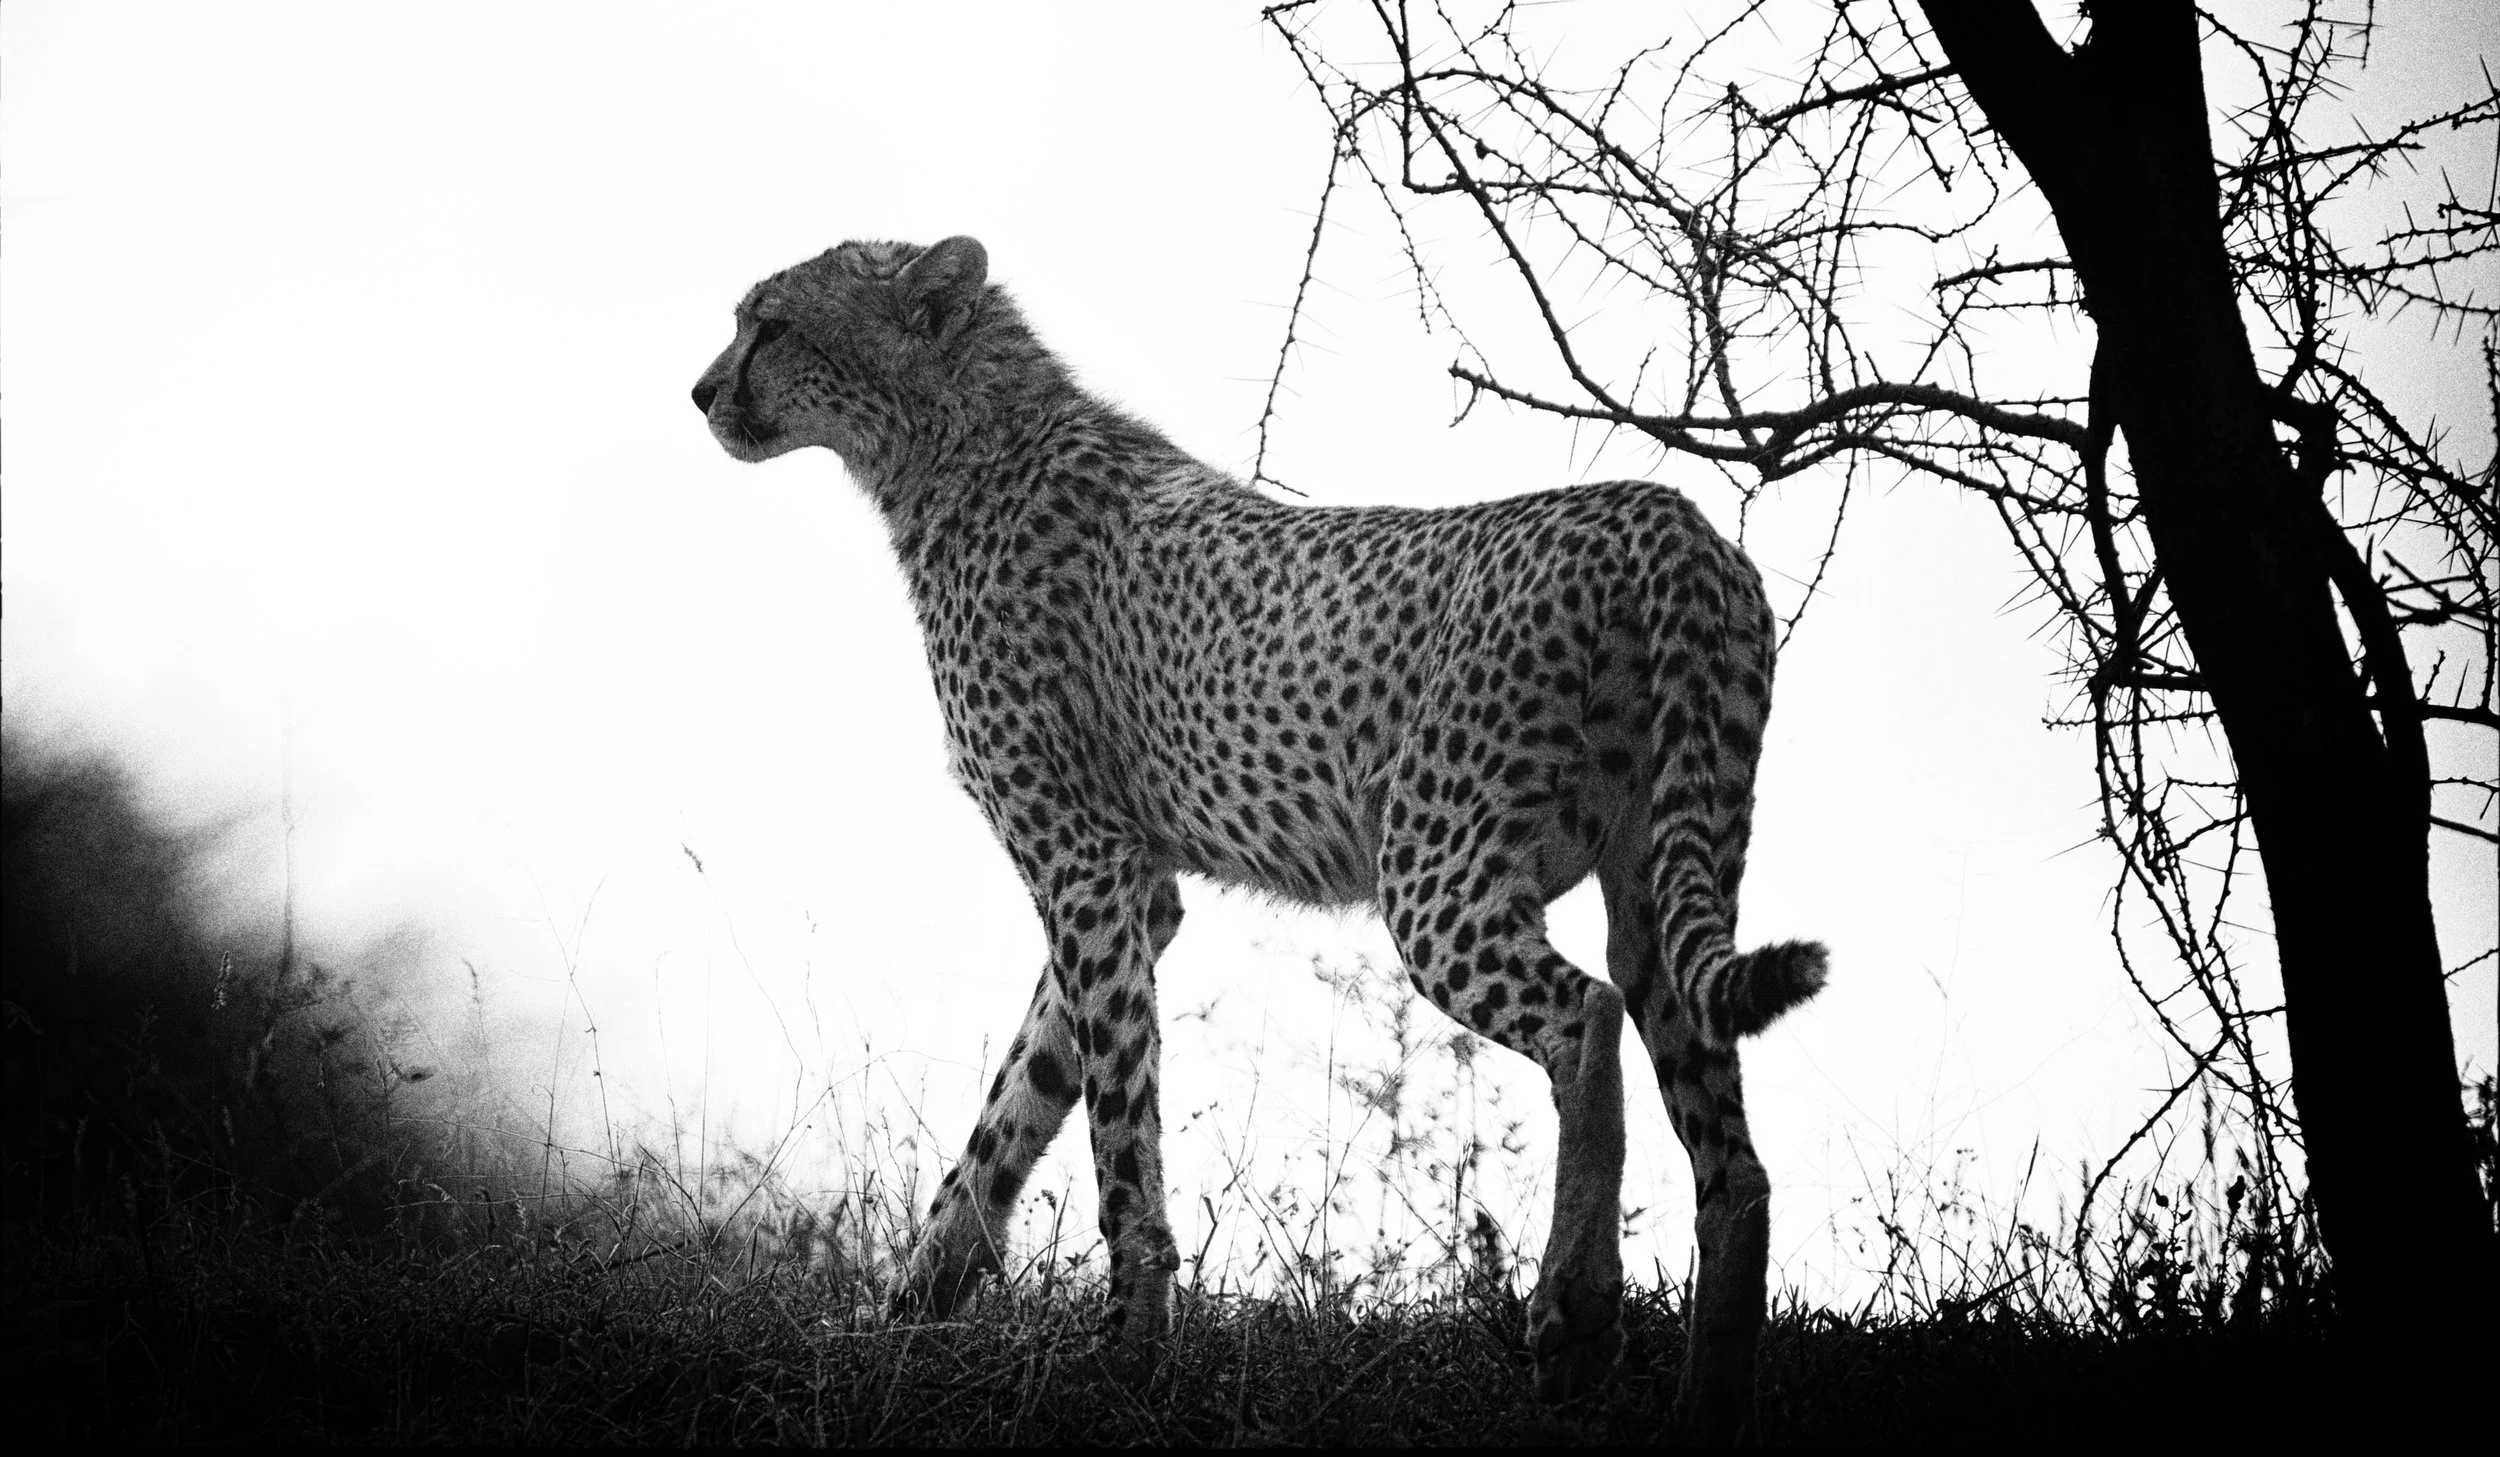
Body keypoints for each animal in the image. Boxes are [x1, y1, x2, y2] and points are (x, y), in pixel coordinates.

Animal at [692, 235, 1827, 1433]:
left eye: (770, 324)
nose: (703, 391)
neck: (950, 445)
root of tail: (1667, 514)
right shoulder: (1130, 882)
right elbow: (1019, 1101)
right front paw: (909, 1313)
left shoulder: (1082, 858)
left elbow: (1115, 1123)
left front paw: (1129, 1356)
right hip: (1660, 868)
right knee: (1728, 1154)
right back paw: (1706, 1400)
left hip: (1433, 867)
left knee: (1589, 1016)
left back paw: (1575, 1304)